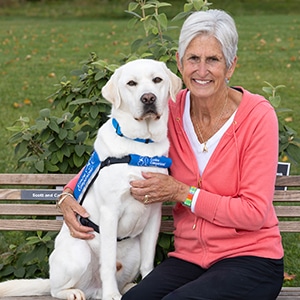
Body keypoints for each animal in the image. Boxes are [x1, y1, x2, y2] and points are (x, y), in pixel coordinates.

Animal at [0, 59, 180, 300]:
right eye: (131, 83)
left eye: (157, 80)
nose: (148, 98)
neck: (141, 144)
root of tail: (93, 289)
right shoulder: (110, 212)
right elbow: (108, 263)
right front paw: (112, 295)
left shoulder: (153, 213)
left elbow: (148, 263)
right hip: (79, 253)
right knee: (56, 289)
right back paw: (76, 292)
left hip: (133, 251)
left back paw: (127, 287)